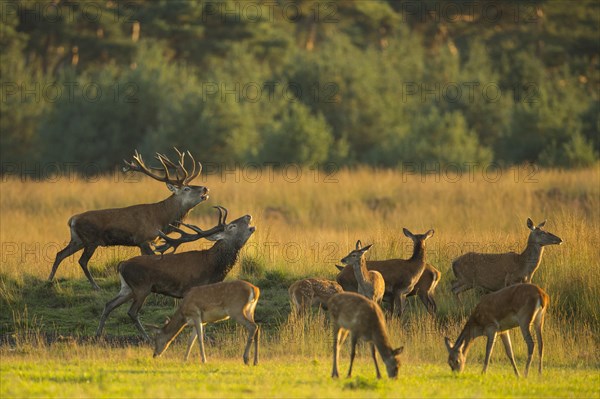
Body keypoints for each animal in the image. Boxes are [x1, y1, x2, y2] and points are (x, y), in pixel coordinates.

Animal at [47, 148, 207, 290]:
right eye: (186, 189)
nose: (205, 188)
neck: (160, 218)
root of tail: (72, 220)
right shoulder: (143, 239)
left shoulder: (143, 242)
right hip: (90, 240)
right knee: (82, 261)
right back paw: (96, 286)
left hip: (77, 240)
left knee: (60, 254)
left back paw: (49, 281)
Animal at [95, 206, 254, 340]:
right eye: (232, 226)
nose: (248, 215)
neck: (213, 267)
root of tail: (122, 265)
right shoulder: (193, 289)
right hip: (141, 287)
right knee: (132, 311)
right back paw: (146, 337)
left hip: (127, 288)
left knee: (109, 304)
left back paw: (98, 334)